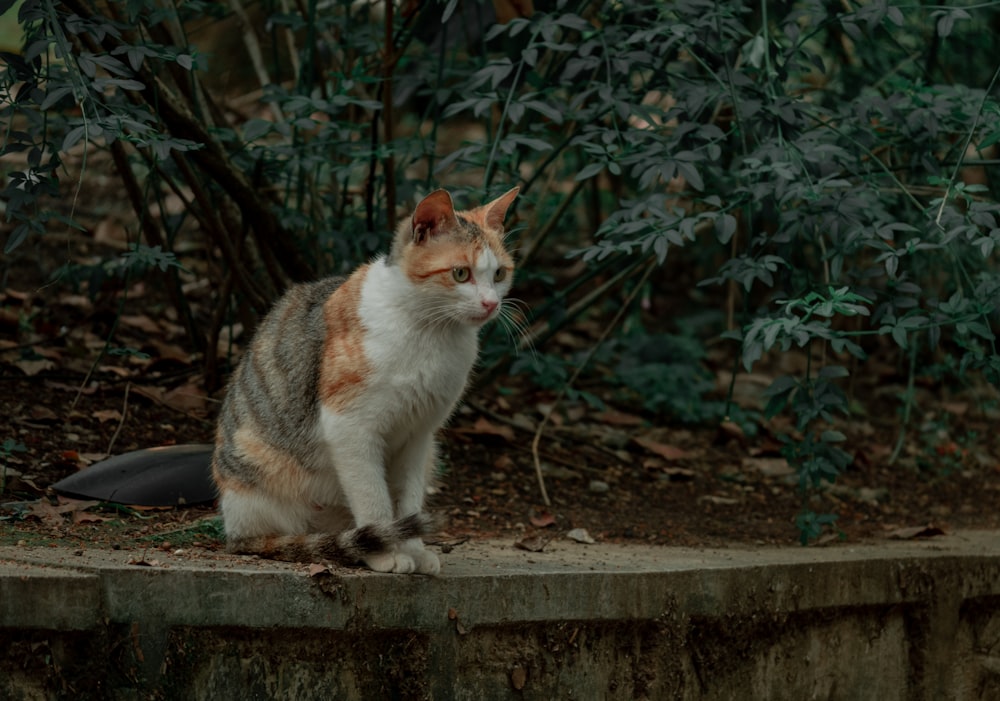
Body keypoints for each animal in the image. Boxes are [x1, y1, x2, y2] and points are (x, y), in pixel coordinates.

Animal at [214, 187, 520, 576]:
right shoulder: (349, 426)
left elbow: (408, 501)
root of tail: (234, 533)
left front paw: (412, 549)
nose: (491, 303)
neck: (430, 332)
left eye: (499, 273)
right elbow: (373, 498)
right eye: (461, 273)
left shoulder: (419, 435)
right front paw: (386, 553)